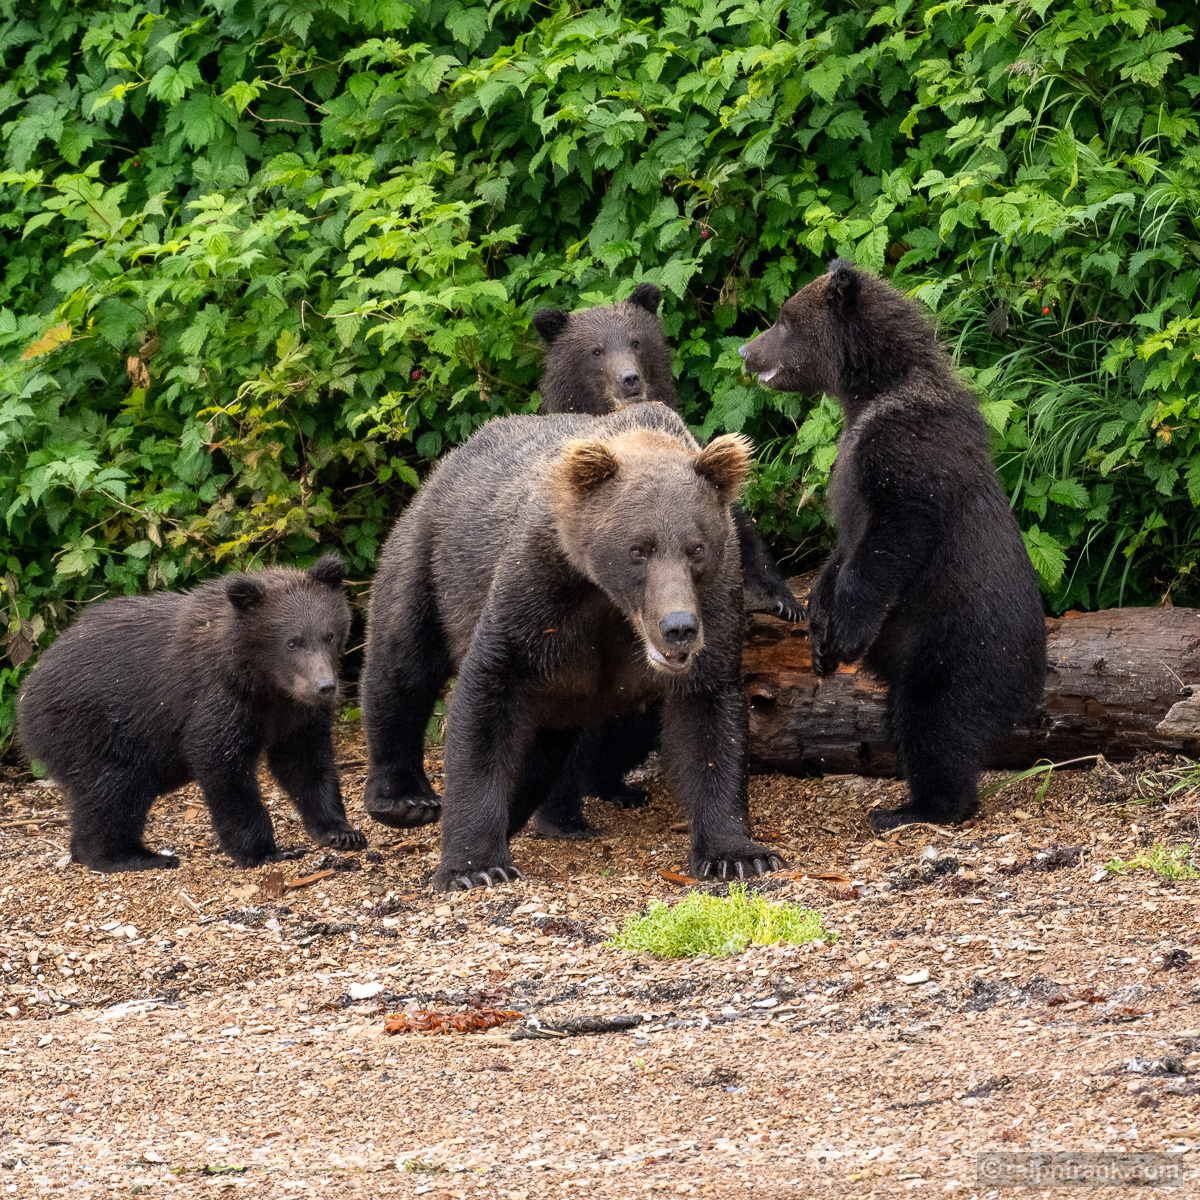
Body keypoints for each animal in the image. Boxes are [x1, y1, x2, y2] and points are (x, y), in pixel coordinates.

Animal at [17, 556, 365, 872]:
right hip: (95, 728)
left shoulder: (294, 715)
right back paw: (136, 856)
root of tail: (28, 690)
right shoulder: (218, 699)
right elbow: (222, 764)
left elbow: (307, 763)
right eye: (292, 642)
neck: (263, 683)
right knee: (113, 790)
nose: (325, 686)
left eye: (329, 635)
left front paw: (341, 832)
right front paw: (265, 850)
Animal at [359, 402, 785, 890]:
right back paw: (405, 799)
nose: (678, 627)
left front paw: (737, 854)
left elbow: (709, 716)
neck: (610, 601)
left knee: (551, 744)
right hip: (428, 557)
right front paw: (474, 866)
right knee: (401, 665)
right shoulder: (537, 587)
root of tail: (450, 461)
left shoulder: (716, 599)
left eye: (696, 548)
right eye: (639, 549)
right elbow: (487, 691)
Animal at [739, 259, 1046, 830]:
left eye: (784, 319)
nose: (747, 351)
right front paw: (817, 629)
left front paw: (846, 634)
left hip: (959, 642)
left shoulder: (905, 447)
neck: (871, 389)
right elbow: (842, 547)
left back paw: (915, 807)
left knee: (934, 719)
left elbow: (893, 531)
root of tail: (1032, 682)